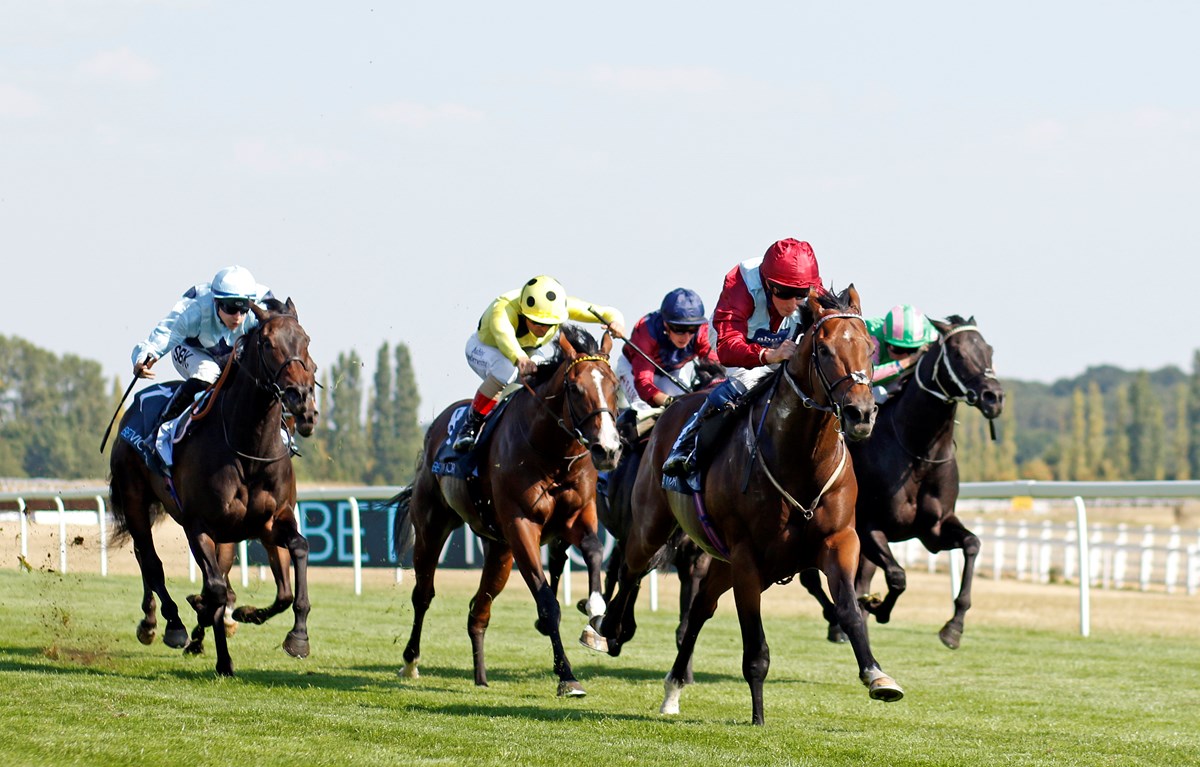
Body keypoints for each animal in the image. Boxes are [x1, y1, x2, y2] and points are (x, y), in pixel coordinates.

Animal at [108, 297, 319, 676]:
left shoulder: (272, 522)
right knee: (150, 560)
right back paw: (169, 624)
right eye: (268, 343)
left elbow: (296, 558)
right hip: (135, 501)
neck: (249, 449)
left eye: (306, 340)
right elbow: (217, 590)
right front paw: (220, 653)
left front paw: (296, 636)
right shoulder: (199, 525)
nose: (301, 401)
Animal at [391, 326, 624, 700]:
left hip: (498, 551)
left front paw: (595, 616)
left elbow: (593, 550)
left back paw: (481, 676)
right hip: (432, 526)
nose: (608, 449)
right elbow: (547, 604)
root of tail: (436, 428)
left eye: (614, 385)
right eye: (575, 388)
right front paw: (567, 676)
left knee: (478, 610)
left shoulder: (578, 516)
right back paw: (411, 662)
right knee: (423, 594)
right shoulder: (521, 526)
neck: (552, 453)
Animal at [585, 288, 902, 724]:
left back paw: (672, 689)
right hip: (653, 528)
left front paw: (877, 675)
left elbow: (850, 611)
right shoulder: (748, 558)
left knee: (699, 609)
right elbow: (756, 651)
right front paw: (758, 718)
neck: (801, 462)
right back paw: (607, 629)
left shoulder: (839, 541)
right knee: (630, 569)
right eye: (822, 349)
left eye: (869, 348)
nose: (861, 413)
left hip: (718, 560)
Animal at [801, 314, 1008, 652]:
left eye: (989, 350)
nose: (994, 397)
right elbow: (898, 576)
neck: (918, 450)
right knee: (813, 579)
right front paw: (878, 609)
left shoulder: (933, 530)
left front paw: (954, 627)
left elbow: (973, 544)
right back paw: (839, 621)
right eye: (958, 353)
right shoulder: (868, 527)